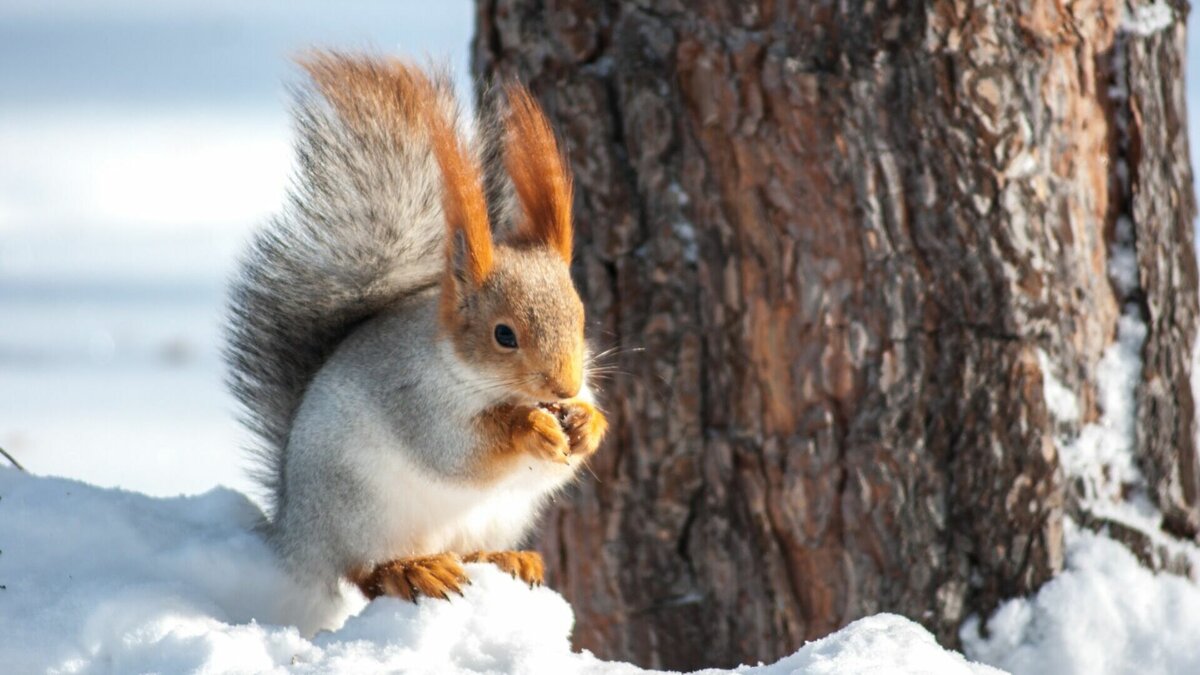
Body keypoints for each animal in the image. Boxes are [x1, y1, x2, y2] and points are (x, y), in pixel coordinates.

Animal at [223, 49, 609, 612]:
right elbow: (457, 452)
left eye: (581, 318)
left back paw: (505, 557)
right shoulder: (416, 400)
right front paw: (529, 427)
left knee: (468, 550)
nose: (564, 387)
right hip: (359, 507)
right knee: (361, 572)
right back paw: (410, 569)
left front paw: (586, 424)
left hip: (496, 516)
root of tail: (295, 528)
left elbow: (565, 459)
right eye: (504, 335)